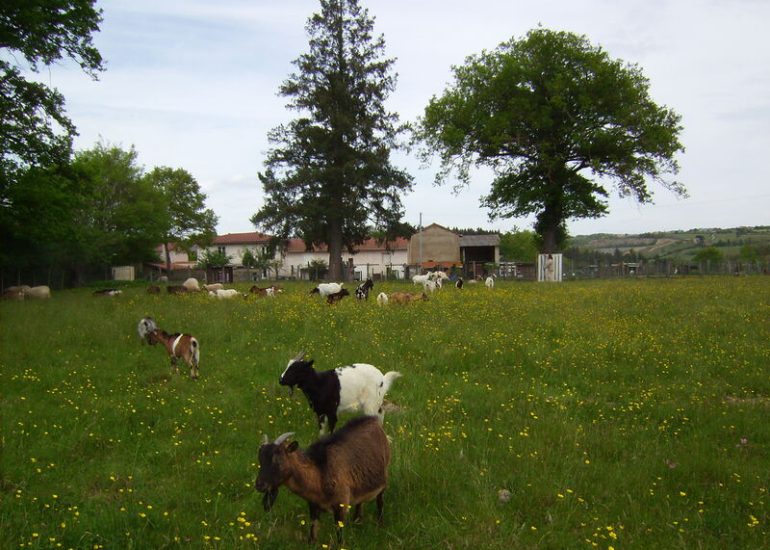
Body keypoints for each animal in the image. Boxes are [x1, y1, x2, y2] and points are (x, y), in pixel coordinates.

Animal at [256, 418, 390, 548]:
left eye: (278, 460)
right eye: (260, 460)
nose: (259, 485)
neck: (320, 474)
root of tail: (373, 420)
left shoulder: (341, 504)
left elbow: (339, 534)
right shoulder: (313, 505)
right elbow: (312, 532)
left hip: (384, 477)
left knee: (380, 502)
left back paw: (380, 524)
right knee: (359, 502)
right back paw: (357, 522)